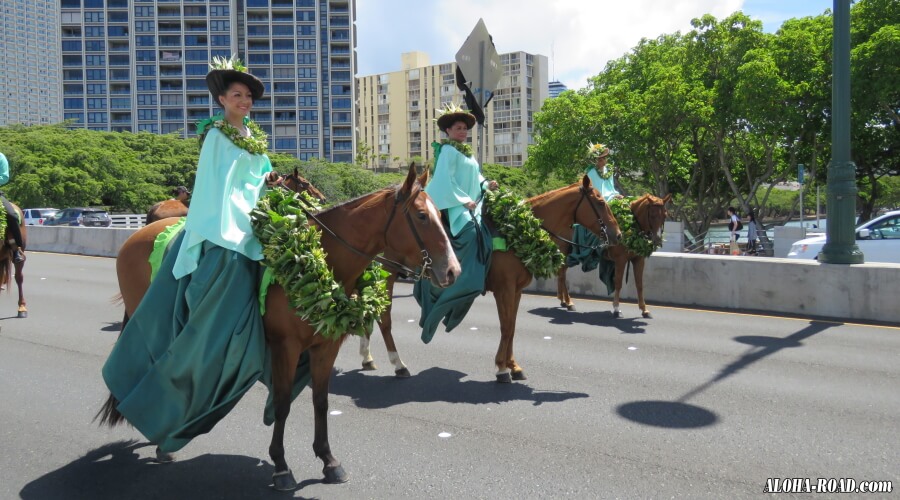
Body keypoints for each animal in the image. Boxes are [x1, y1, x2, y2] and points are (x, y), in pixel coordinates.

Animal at [356, 176, 620, 382]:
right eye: (599, 201)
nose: (617, 234)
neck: (517, 234)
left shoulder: (516, 290)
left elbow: (512, 327)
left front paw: (513, 366)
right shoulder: (504, 289)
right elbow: (506, 327)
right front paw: (502, 368)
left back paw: (367, 357)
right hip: (386, 276)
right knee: (384, 317)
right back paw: (397, 364)